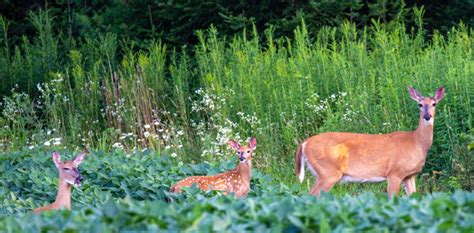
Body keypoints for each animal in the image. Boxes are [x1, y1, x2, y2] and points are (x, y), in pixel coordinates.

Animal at [294, 86, 446, 196]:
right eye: (420, 104)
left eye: (434, 104)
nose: (427, 116)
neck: (416, 141)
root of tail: (304, 143)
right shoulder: (394, 173)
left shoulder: (409, 176)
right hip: (328, 172)